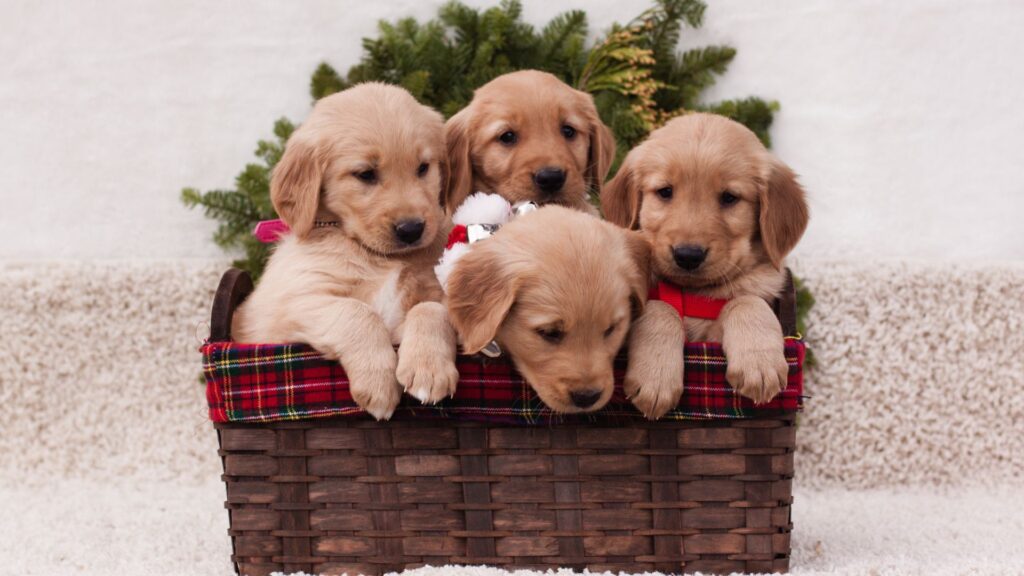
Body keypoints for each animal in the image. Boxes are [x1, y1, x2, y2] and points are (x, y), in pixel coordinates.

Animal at [234, 83, 458, 420]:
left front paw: (428, 369)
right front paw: (378, 383)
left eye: (423, 168)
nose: (411, 229)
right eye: (365, 174)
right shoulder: (297, 302)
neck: (377, 255)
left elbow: (431, 309)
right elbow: (357, 312)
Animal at [598, 113, 806, 407]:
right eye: (665, 192)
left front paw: (759, 363)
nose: (688, 255)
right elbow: (660, 306)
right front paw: (656, 376)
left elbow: (746, 300)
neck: (693, 295)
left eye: (729, 197)